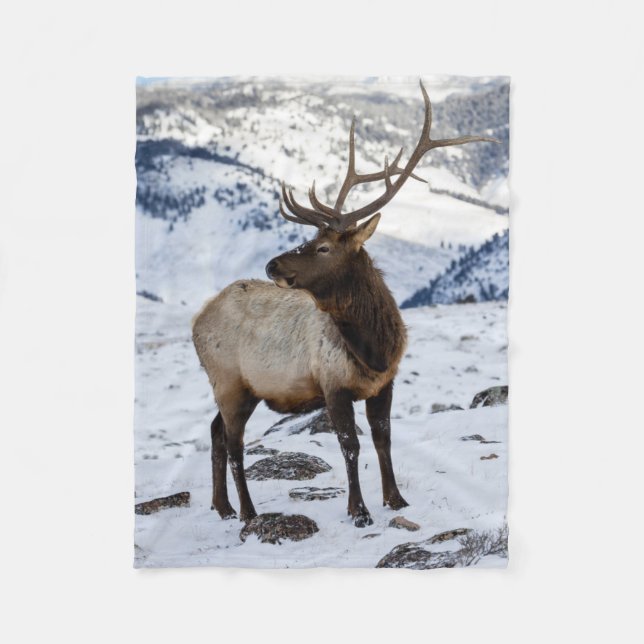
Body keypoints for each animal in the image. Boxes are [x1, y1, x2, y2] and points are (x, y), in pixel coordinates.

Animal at [192, 81, 498, 527]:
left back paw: (224, 507)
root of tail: (196, 321)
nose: (271, 264)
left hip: (237, 390)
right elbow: (349, 445)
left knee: (216, 434)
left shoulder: (384, 383)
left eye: (322, 247)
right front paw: (359, 511)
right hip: (229, 381)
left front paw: (396, 499)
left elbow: (383, 439)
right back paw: (248, 512)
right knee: (233, 444)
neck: (374, 347)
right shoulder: (332, 384)